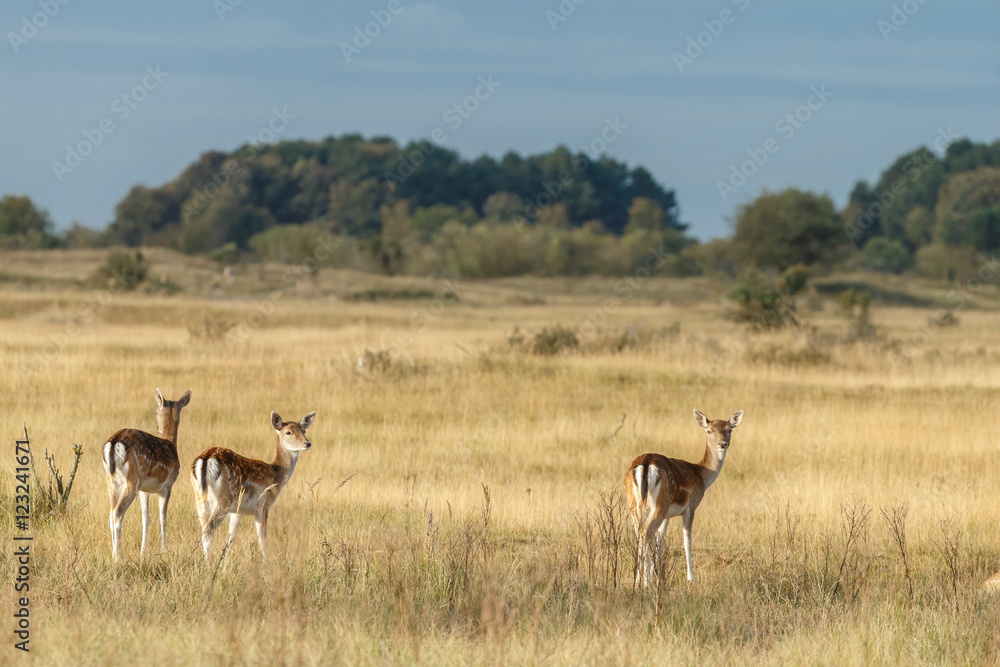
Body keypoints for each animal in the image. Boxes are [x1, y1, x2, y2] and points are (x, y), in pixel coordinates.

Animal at [101, 388, 192, 562]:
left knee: (110, 512)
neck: (171, 444)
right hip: (133, 479)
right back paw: (118, 557)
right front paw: (164, 550)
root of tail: (114, 443)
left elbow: (146, 519)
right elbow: (163, 518)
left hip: (112, 481)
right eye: (156, 411)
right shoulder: (167, 485)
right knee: (117, 512)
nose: (158, 428)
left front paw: (142, 552)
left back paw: (113, 553)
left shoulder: (145, 490)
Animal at [191, 410, 316, 561]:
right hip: (225, 498)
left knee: (204, 529)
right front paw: (266, 563)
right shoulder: (263, 505)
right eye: (288, 432)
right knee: (209, 530)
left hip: (200, 498)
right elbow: (263, 539)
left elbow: (231, 539)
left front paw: (224, 563)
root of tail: (206, 459)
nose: (307, 443)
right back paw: (208, 564)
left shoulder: (237, 511)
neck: (276, 474)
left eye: (304, 430)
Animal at [624, 408, 744, 587]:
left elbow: (660, 542)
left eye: (729, 429)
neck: (701, 476)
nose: (723, 444)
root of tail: (644, 464)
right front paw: (691, 578)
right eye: (709, 431)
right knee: (646, 534)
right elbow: (687, 541)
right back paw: (647, 584)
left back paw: (638, 580)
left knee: (639, 534)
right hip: (659, 504)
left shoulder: (667, 516)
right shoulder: (690, 507)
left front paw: (655, 573)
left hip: (634, 504)